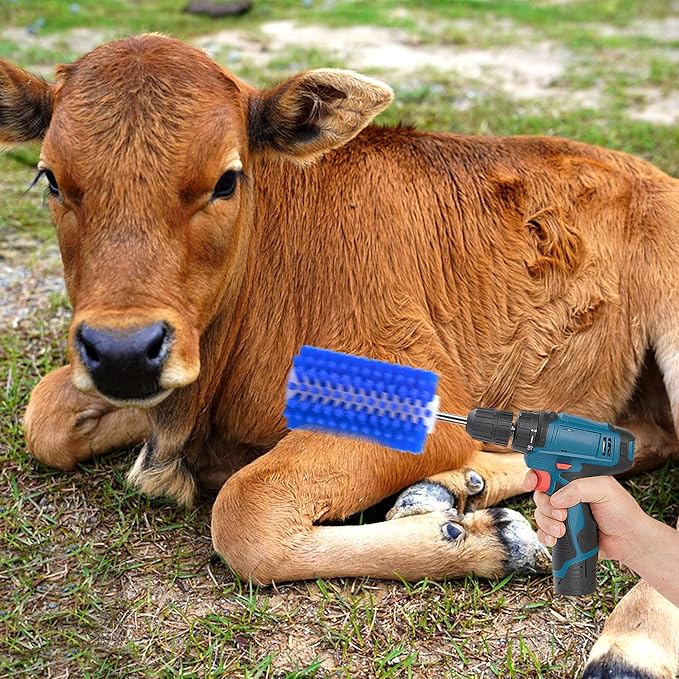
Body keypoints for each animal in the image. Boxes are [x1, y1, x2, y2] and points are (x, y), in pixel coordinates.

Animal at [1, 34, 678, 678]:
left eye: (227, 179)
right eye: (50, 178)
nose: (123, 352)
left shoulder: (419, 396)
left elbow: (244, 511)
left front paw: (491, 542)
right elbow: (45, 417)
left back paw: (627, 646)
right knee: (642, 444)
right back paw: (456, 487)